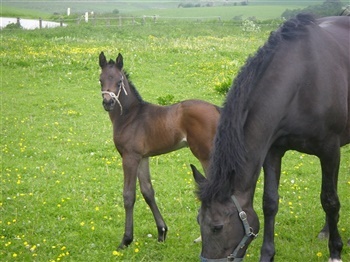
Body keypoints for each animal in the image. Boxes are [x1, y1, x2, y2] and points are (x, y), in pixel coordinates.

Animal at [97, 51, 220, 250]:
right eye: (101, 79)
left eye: (119, 81)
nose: (108, 102)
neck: (130, 116)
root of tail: (217, 110)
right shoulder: (142, 157)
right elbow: (148, 191)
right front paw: (162, 232)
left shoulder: (129, 157)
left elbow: (128, 195)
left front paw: (126, 240)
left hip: (206, 155)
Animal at [193, 14, 348, 262]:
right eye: (199, 221)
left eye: (217, 227)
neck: (303, 80)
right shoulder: (273, 151)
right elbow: (270, 202)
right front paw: (267, 254)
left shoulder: (330, 150)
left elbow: (330, 200)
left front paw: (335, 251)